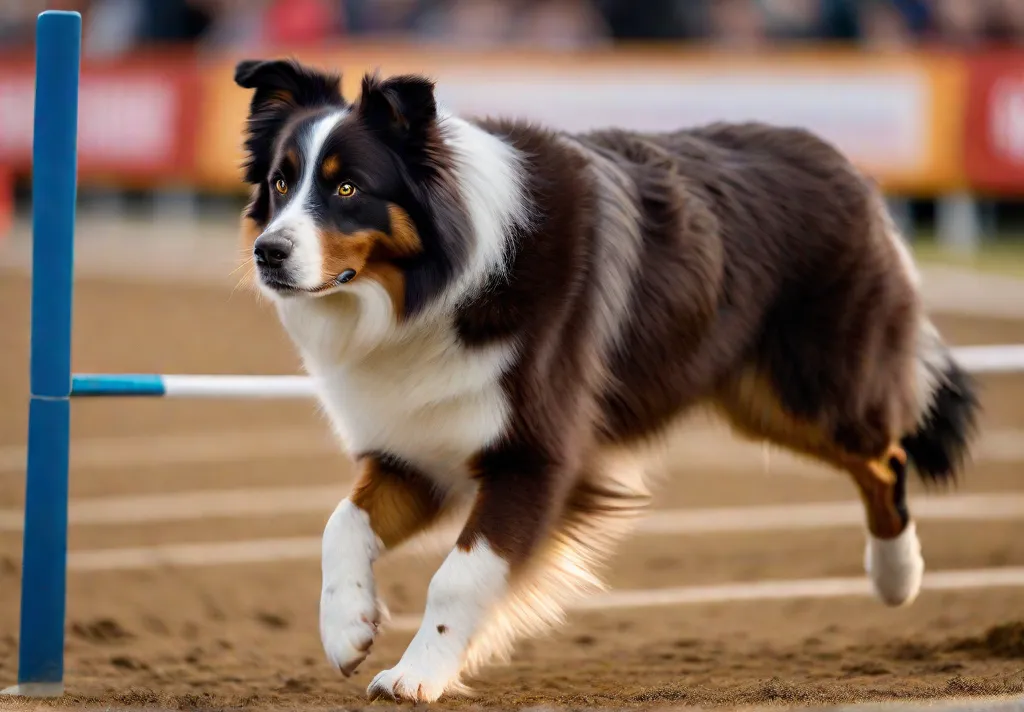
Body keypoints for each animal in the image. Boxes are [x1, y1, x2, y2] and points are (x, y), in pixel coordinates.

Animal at [232, 59, 974, 700]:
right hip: (762, 400)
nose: (267, 253)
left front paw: (417, 675)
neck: (438, 285)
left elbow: (460, 575)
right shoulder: (417, 444)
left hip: (811, 391)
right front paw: (347, 628)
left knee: (887, 456)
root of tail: (844, 165)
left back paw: (897, 577)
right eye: (280, 183)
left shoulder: (536, 457)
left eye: (347, 188)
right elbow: (342, 522)